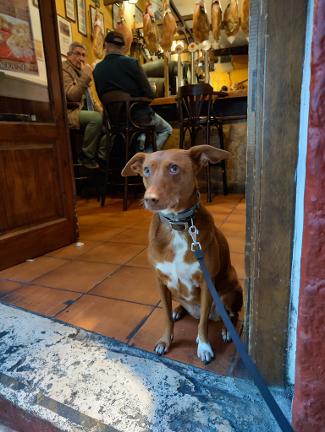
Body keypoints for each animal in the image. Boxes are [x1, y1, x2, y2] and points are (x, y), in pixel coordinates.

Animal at [120, 146, 242, 364]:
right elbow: (166, 317)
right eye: (147, 170)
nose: (149, 199)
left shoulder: (206, 284)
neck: (177, 225)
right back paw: (179, 310)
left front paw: (204, 346)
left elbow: (203, 324)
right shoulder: (160, 281)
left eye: (174, 168)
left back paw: (228, 331)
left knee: (231, 315)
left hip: (230, 293)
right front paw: (165, 340)